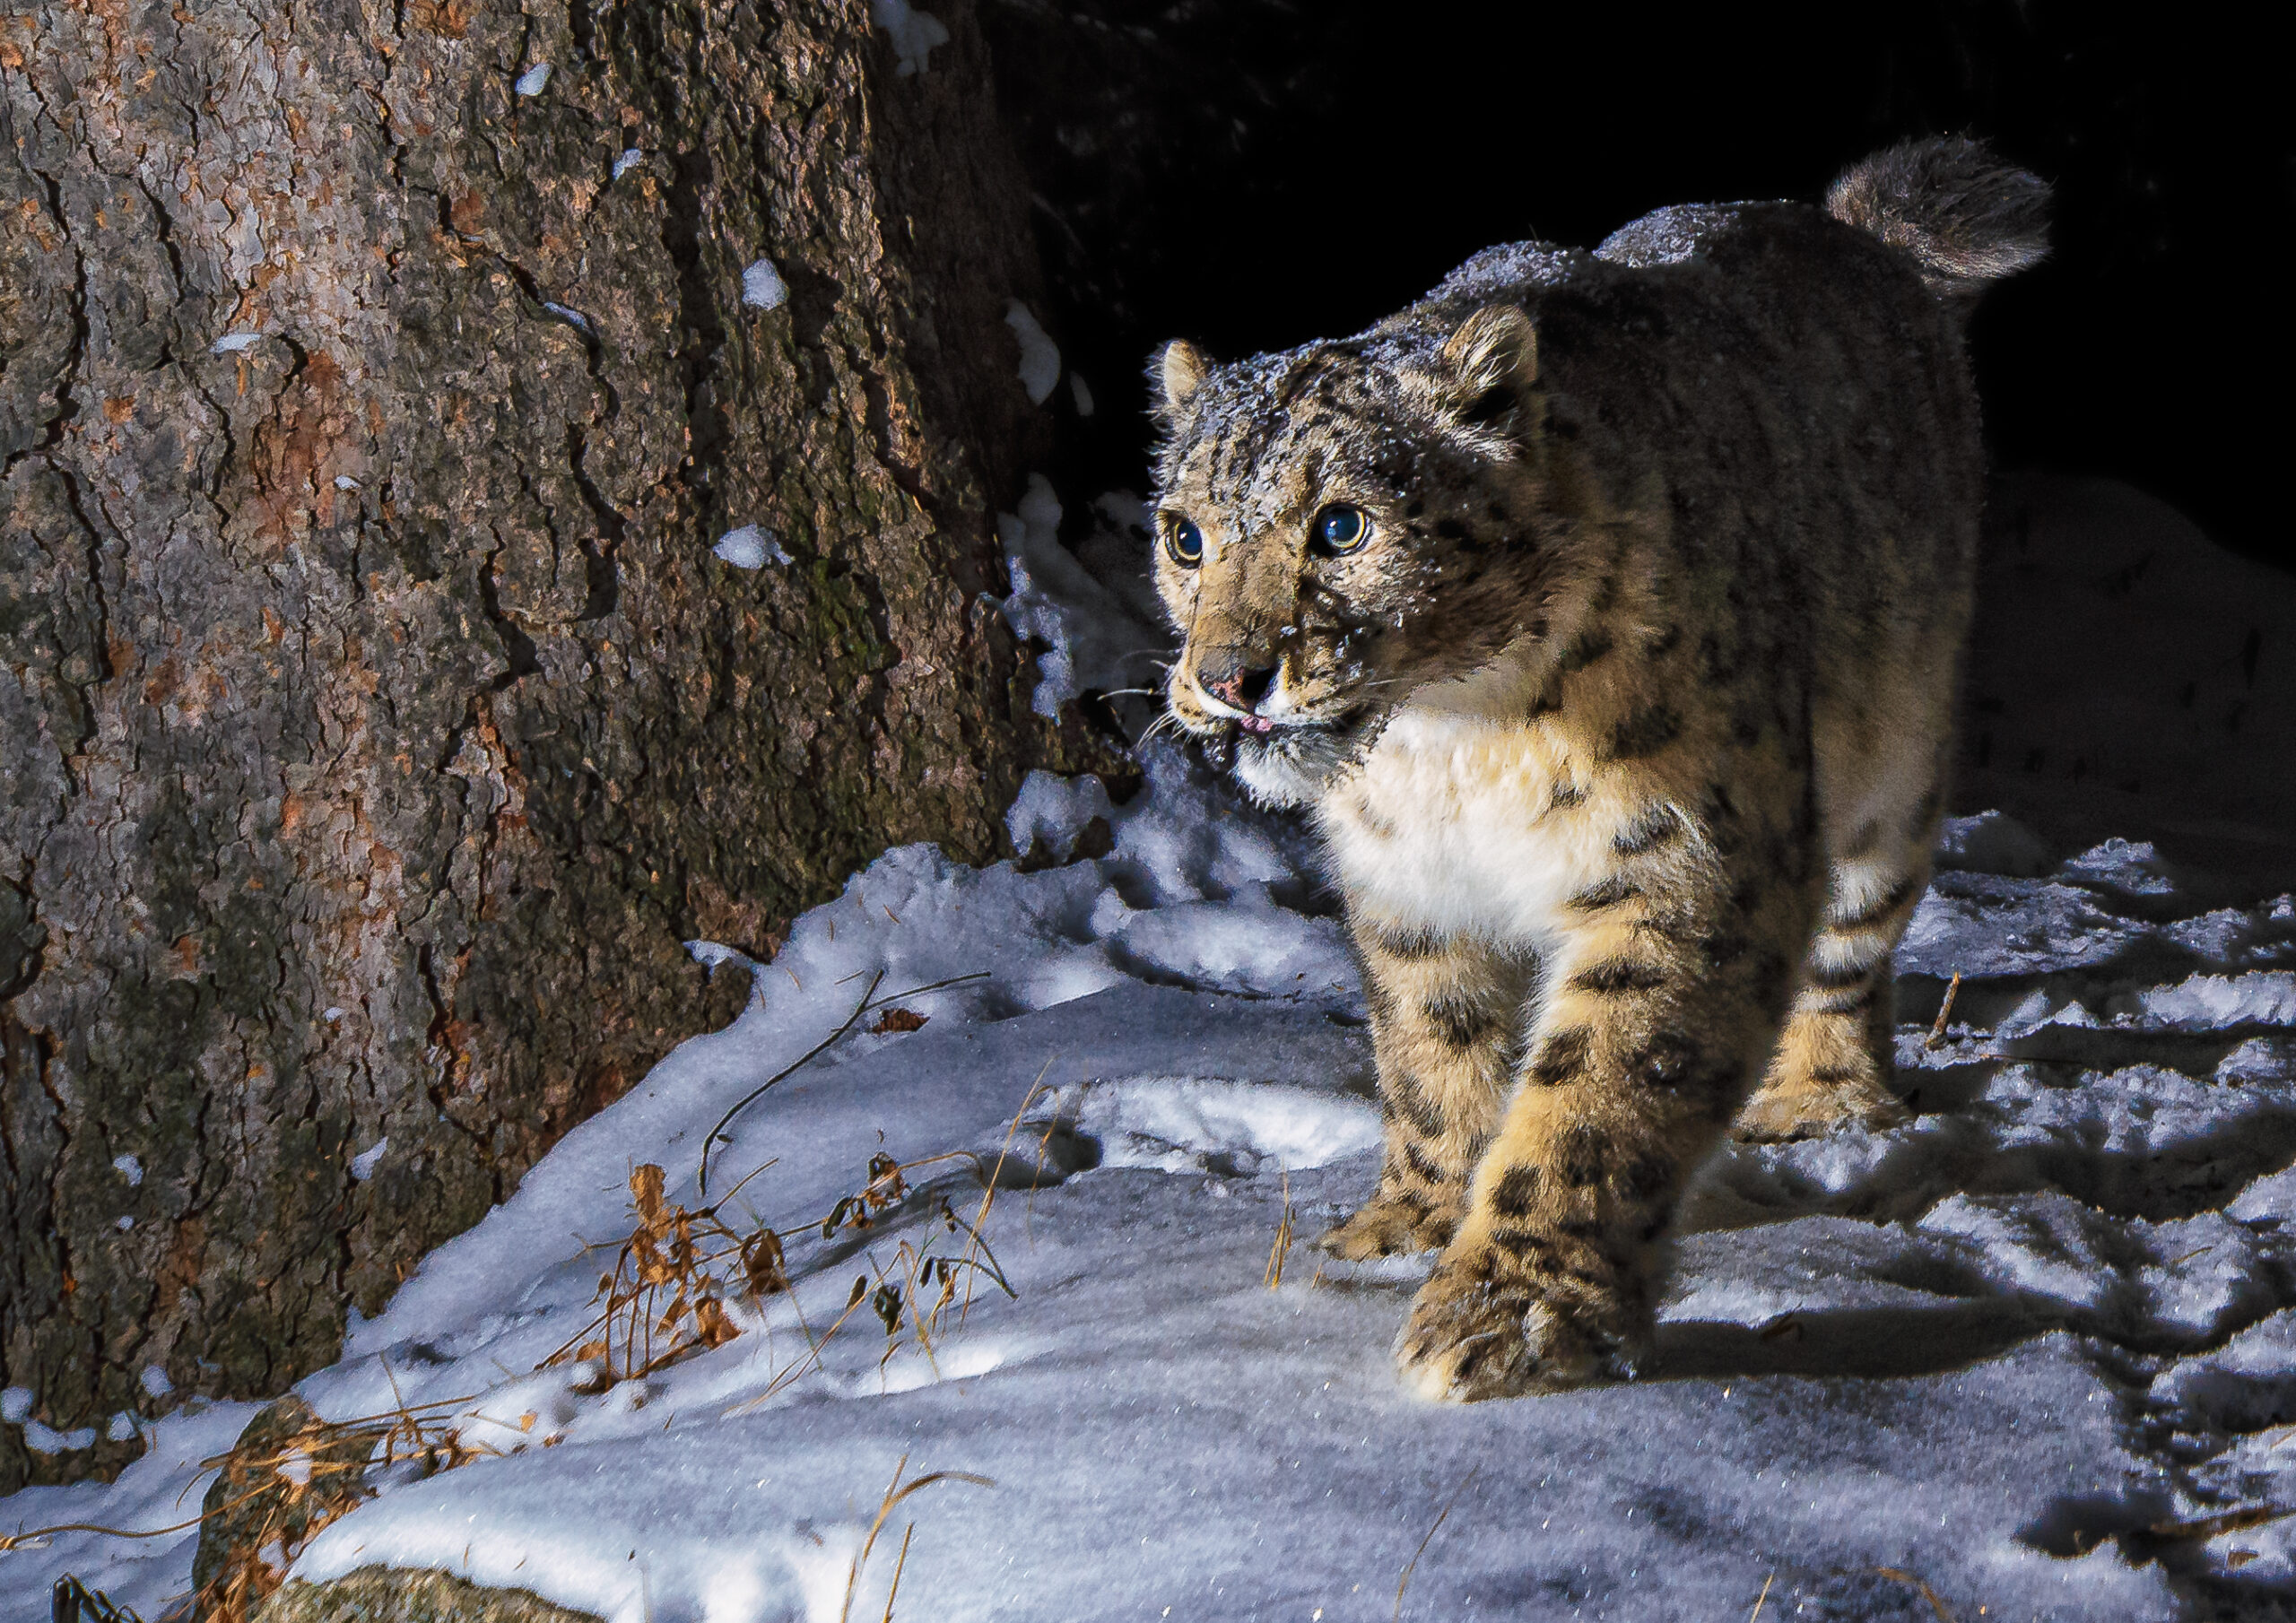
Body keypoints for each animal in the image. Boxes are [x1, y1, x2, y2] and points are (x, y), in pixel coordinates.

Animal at [1148, 136, 2048, 1395]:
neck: (1445, 749)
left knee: (1856, 931)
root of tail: (1848, 232)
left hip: (1895, 758)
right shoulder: (1407, 886)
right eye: (1184, 535)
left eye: (1342, 525)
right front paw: (1411, 1221)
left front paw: (1511, 1315)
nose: (1230, 678)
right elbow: (1427, 1050)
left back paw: (1820, 1099)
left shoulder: (1684, 856)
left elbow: (1601, 1089)